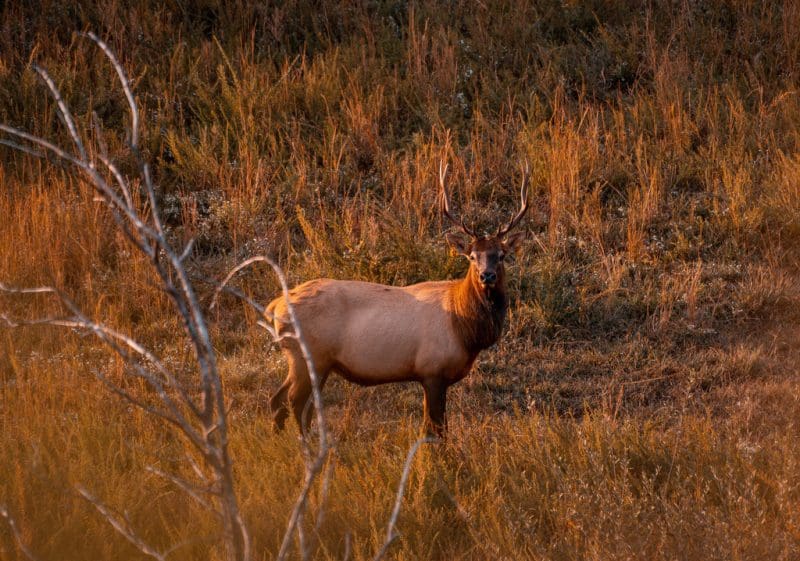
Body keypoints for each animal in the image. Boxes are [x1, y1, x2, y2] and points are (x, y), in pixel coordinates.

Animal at [265, 162, 529, 437]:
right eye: (472, 256)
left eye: (501, 255)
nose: (487, 275)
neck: (466, 331)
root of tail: (275, 306)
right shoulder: (432, 370)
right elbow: (435, 429)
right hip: (308, 355)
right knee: (293, 402)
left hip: (308, 360)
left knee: (279, 400)